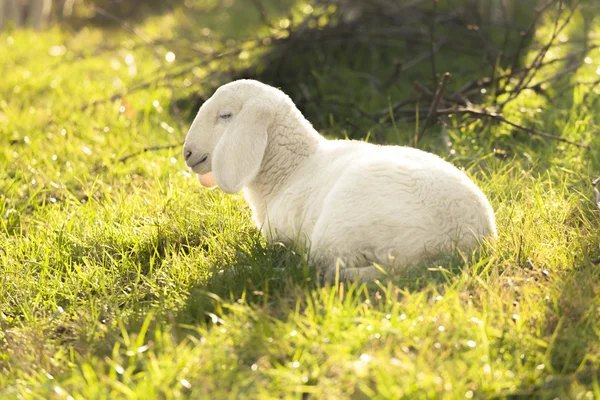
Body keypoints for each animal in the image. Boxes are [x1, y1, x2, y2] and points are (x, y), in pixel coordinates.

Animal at [183, 79, 496, 282]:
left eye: (225, 115)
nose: (187, 153)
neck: (291, 168)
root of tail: (458, 245)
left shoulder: (280, 234)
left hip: (342, 232)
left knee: (326, 265)